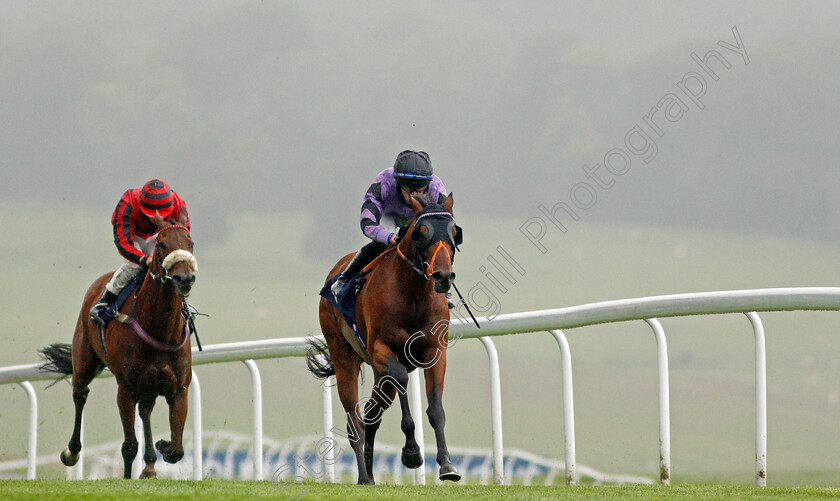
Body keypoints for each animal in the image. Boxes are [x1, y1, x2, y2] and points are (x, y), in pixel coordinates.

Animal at [40, 211, 198, 476]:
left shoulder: (179, 389)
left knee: (145, 410)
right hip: (85, 360)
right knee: (80, 393)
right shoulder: (126, 387)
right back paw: (71, 451)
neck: (160, 330)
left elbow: (177, 450)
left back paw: (150, 465)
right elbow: (129, 446)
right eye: (162, 244)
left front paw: (163, 445)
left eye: (191, 244)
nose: (184, 279)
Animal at [308, 192, 462, 484]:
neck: (413, 296)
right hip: (344, 356)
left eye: (454, 232)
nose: (443, 276)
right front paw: (412, 452)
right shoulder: (384, 349)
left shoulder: (436, 351)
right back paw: (364, 476)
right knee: (355, 419)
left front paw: (447, 465)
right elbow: (402, 380)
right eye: (420, 233)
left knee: (371, 413)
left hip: (379, 373)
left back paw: (368, 473)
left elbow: (436, 408)